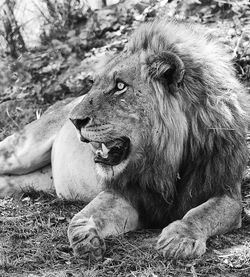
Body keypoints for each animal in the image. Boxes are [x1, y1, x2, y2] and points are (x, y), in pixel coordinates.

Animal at [0, 20, 250, 258]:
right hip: (21, 152)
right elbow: (83, 217)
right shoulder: (124, 192)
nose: (74, 120)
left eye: (120, 86)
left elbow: (200, 214)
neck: (168, 159)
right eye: (95, 84)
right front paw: (85, 236)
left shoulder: (226, 193)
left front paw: (180, 238)